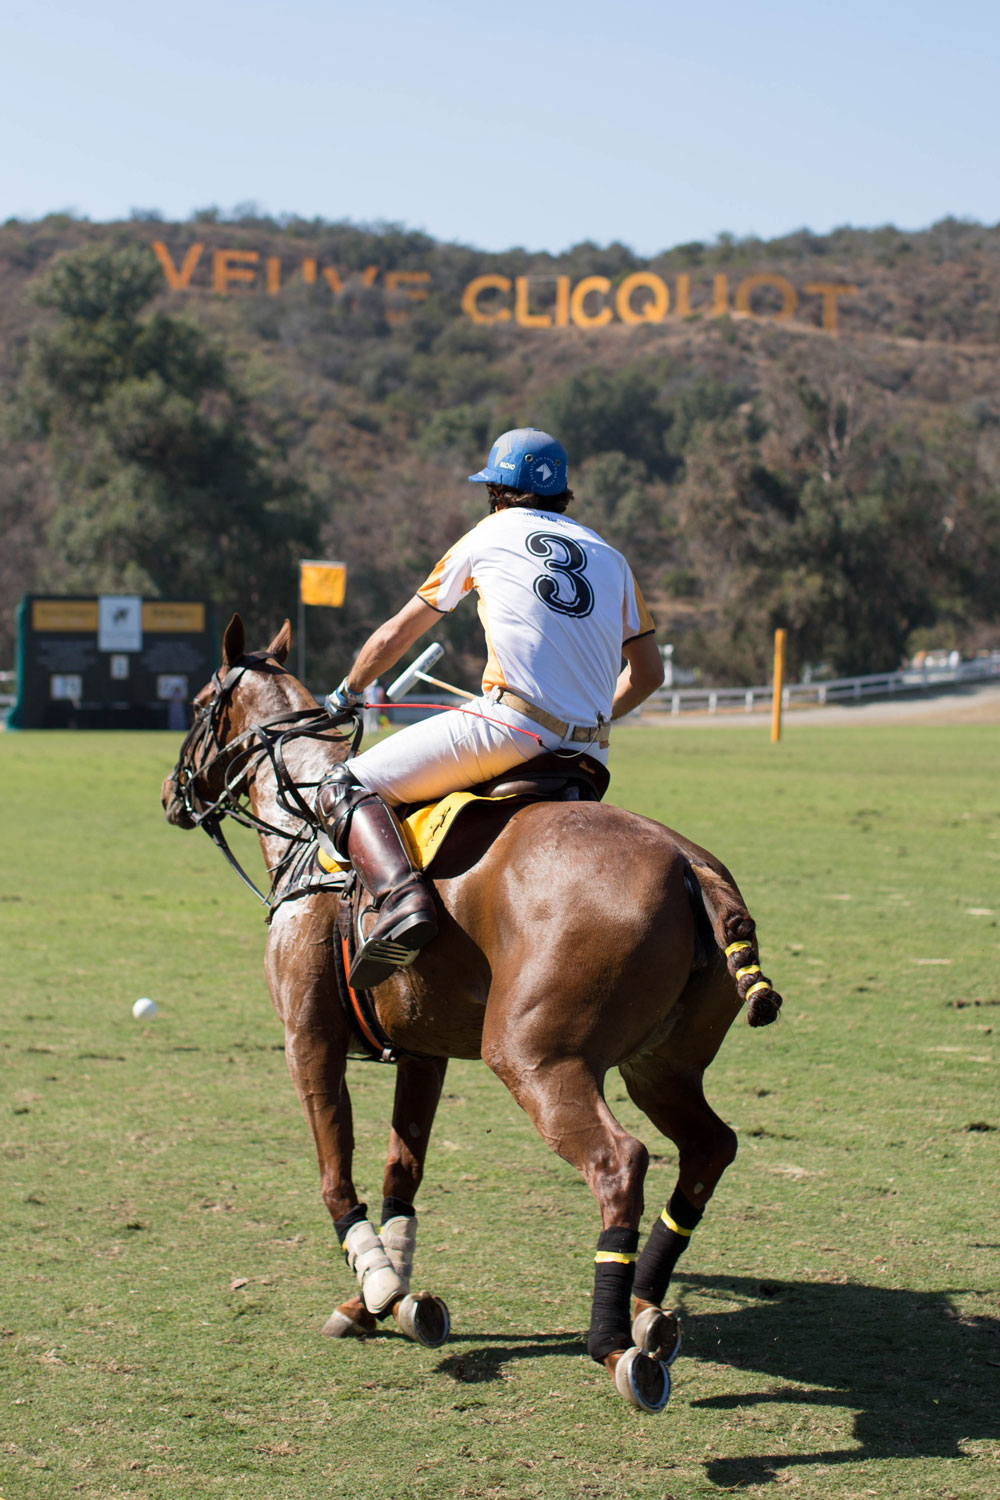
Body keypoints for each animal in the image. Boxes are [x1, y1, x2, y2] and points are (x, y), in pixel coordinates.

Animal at [162, 615, 779, 1410]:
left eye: (199, 702)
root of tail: (688, 863)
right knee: (710, 1147)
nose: (171, 794)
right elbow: (402, 1172)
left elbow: (337, 1176)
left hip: (533, 1055)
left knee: (621, 1163)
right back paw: (650, 1309)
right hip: (661, 1067)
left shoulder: (307, 1039)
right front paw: (391, 1301)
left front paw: (377, 1285)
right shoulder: (422, 1050)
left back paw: (615, 1344)